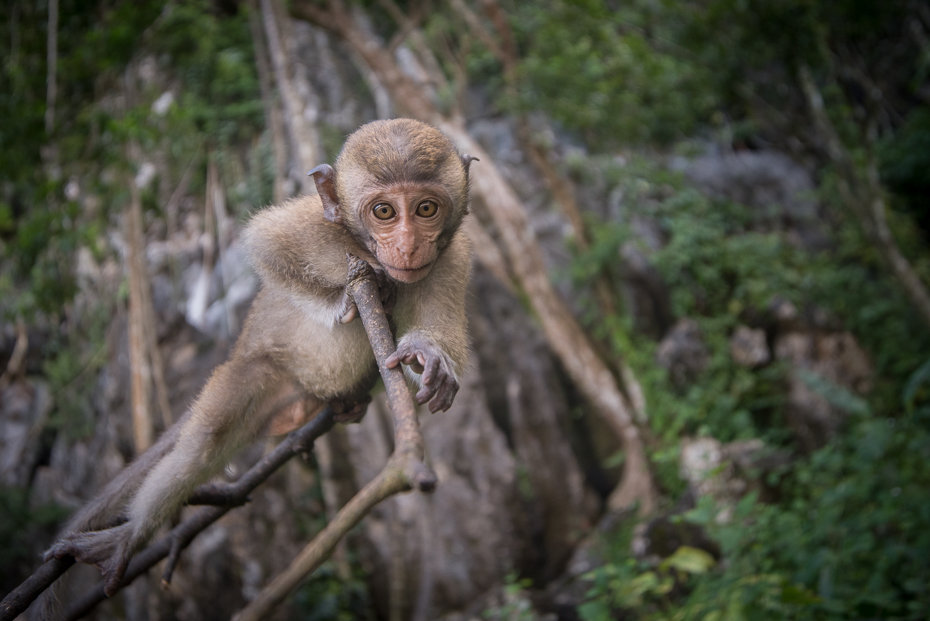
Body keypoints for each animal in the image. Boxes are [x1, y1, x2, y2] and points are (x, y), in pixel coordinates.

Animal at [44, 116, 474, 596]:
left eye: (425, 209)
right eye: (384, 212)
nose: (409, 245)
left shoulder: (453, 256)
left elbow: (443, 333)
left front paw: (428, 354)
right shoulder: (318, 227)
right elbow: (265, 240)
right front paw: (346, 299)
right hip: (261, 371)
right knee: (208, 436)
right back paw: (129, 536)